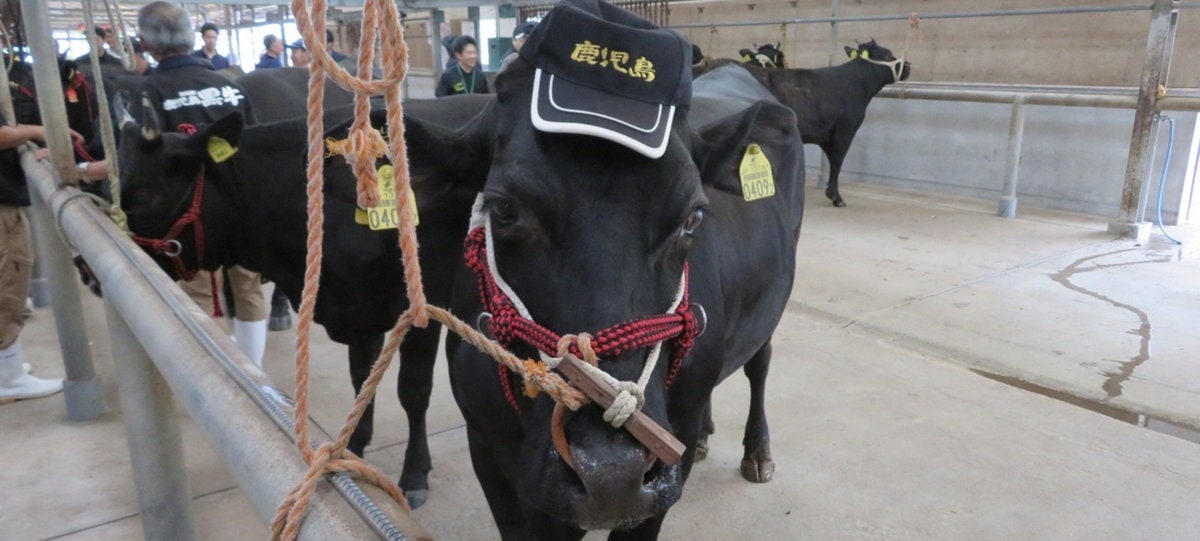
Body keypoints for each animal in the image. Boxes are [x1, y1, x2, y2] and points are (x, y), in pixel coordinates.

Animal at [110, 94, 489, 508]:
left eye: (144, 197)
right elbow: (362, 380)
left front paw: (415, 471)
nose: (86, 268)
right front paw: (354, 447)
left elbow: (414, 390)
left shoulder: (424, 308)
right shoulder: (358, 311)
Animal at [403, 4, 806, 537]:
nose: (611, 472)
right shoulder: (486, 449)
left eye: (693, 218)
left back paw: (757, 451)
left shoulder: (662, 477)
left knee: (760, 362)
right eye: (504, 208)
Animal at [696, 38, 907, 207]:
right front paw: (836, 197)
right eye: (887, 54)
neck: (857, 84)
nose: (909, 66)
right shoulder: (844, 132)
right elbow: (837, 163)